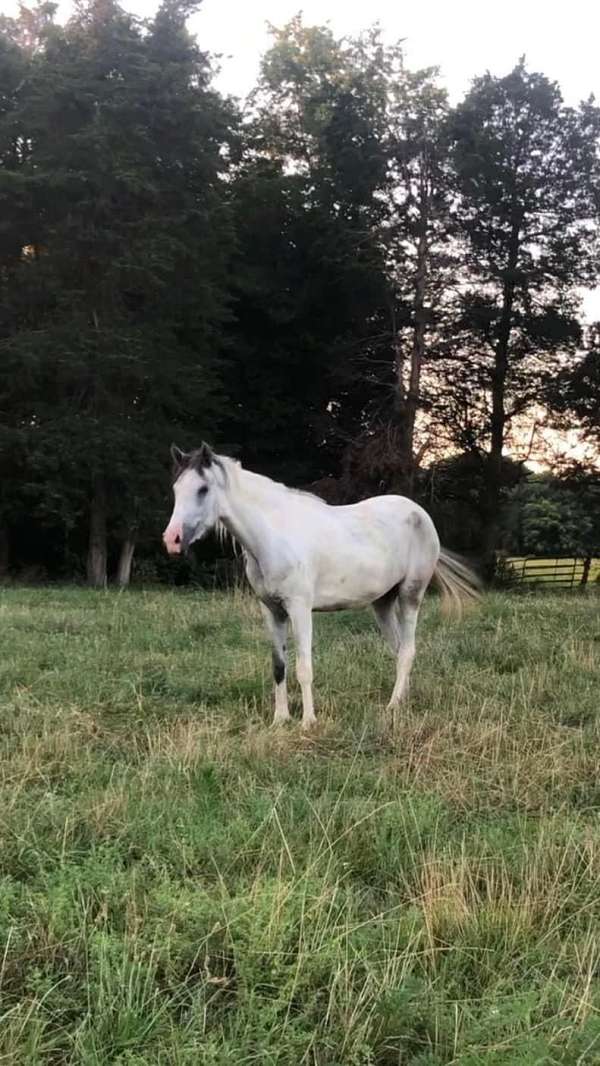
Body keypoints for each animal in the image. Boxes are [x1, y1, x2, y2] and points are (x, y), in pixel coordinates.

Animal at [161, 445, 481, 729]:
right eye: (176, 489)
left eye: (202, 489)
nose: (172, 540)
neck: (273, 536)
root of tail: (420, 514)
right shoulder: (272, 611)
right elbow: (279, 666)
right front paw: (280, 720)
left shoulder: (300, 608)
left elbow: (304, 668)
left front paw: (308, 722)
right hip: (382, 602)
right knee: (399, 648)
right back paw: (403, 700)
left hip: (410, 595)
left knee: (408, 650)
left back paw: (392, 706)